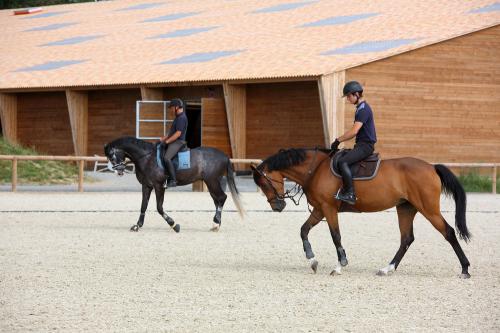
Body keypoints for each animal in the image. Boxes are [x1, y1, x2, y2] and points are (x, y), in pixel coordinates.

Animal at [104, 136, 244, 232]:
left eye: (112, 156)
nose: (119, 171)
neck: (146, 158)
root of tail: (225, 156)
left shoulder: (159, 186)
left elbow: (159, 208)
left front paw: (174, 224)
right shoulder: (147, 186)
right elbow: (143, 206)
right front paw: (137, 225)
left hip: (212, 181)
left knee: (222, 198)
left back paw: (215, 223)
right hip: (212, 182)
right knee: (217, 200)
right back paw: (216, 224)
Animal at [252, 148, 470, 278]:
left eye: (264, 183)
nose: (277, 206)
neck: (315, 169)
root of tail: (431, 167)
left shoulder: (328, 208)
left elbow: (335, 236)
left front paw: (340, 265)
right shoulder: (319, 209)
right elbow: (303, 230)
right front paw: (312, 259)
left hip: (428, 209)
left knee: (448, 232)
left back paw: (465, 269)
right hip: (406, 208)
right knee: (406, 238)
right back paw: (388, 268)